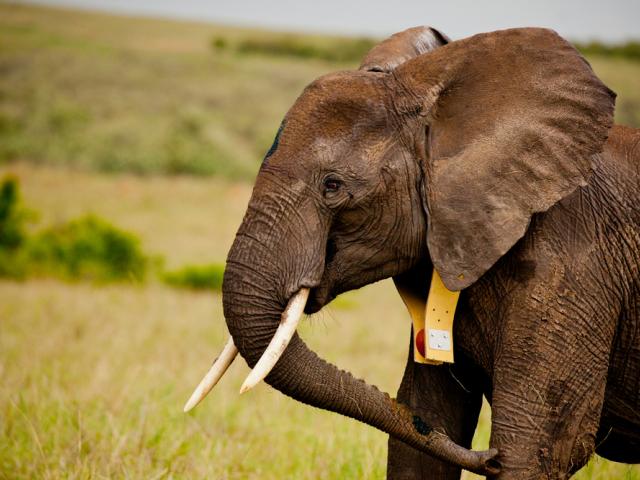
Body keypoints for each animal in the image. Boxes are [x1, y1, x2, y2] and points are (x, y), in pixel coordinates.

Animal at [185, 26, 640, 478]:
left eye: (332, 186)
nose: (487, 456)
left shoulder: (574, 264)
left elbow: (536, 452)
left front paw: (507, 454)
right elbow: (424, 434)